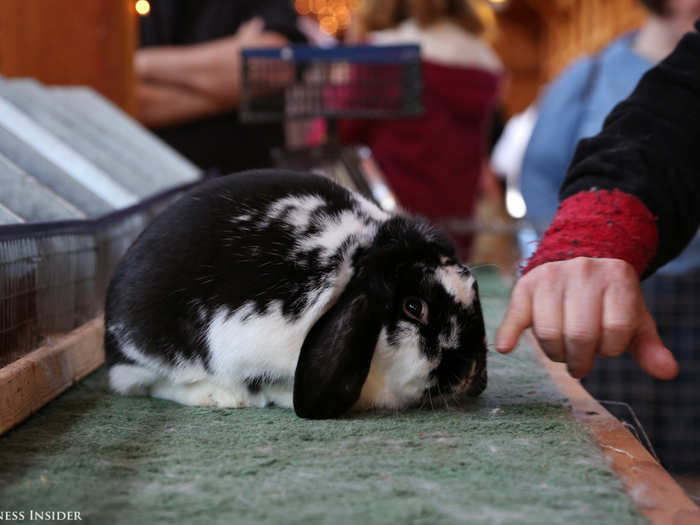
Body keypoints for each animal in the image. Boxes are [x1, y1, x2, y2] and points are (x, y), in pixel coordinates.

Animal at [104, 168, 486, 418]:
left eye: (472, 282)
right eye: (413, 307)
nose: (470, 374)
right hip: (154, 356)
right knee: (156, 385)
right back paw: (222, 397)